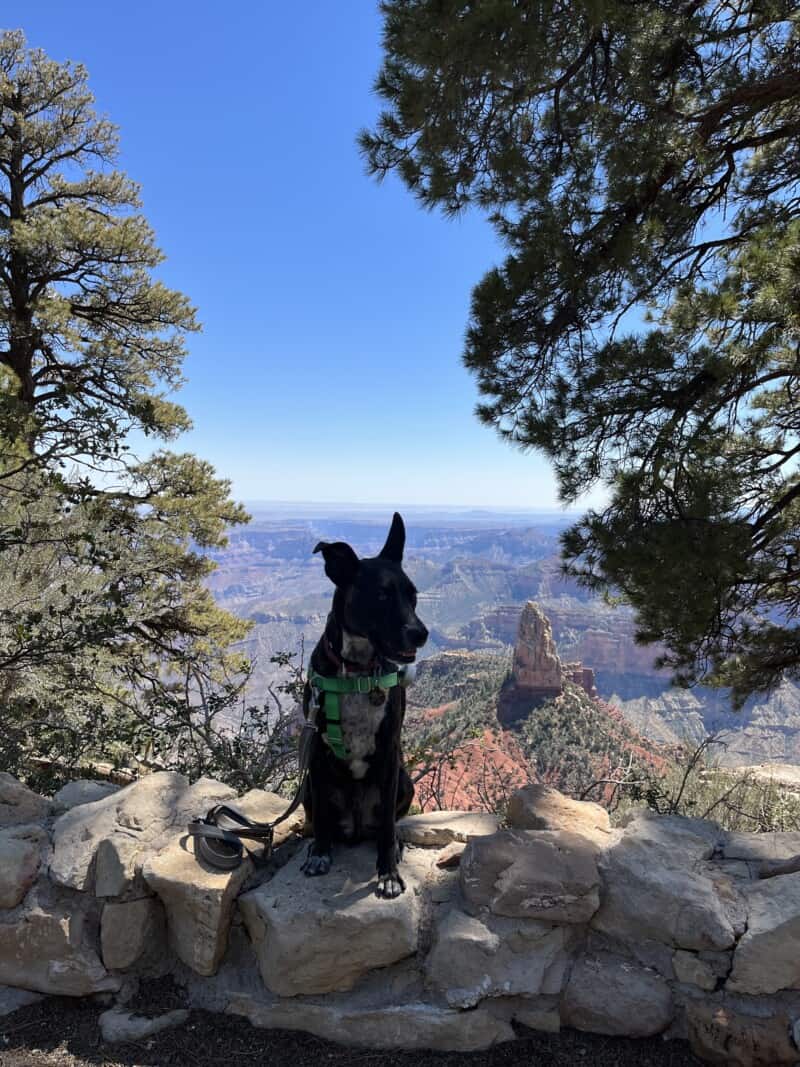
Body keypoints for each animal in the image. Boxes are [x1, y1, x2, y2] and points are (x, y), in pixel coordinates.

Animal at [300, 512, 428, 896]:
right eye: (382, 595)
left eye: (413, 595)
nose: (421, 633)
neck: (356, 669)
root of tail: (356, 829)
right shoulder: (316, 751)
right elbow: (321, 821)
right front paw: (319, 853)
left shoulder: (389, 751)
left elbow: (387, 826)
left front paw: (388, 873)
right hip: (309, 787)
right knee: (321, 819)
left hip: (404, 781)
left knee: (387, 824)